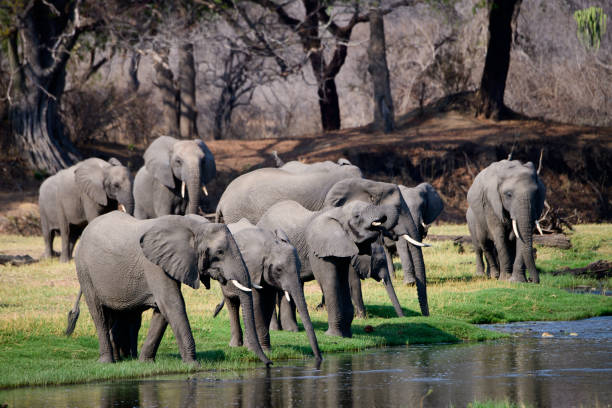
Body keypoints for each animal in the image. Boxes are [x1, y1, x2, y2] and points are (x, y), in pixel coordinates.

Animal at [64, 212, 270, 364]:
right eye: (219, 252)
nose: (269, 363)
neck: (193, 226)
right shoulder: (153, 264)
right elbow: (172, 303)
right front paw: (193, 365)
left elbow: (163, 310)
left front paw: (145, 363)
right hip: (84, 270)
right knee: (99, 313)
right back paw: (107, 362)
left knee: (121, 314)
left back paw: (123, 359)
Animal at [213, 218, 322, 362]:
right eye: (279, 269)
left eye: (299, 267)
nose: (319, 358)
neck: (270, 246)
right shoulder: (251, 269)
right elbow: (256, 303)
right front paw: (254, 350)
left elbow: (268, 303)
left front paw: (266, 350)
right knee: (232, 303)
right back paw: (235, 345)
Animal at [256, 199, 396, 336]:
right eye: (357, 216)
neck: (339, 212)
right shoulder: (317, 249)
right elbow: (330, 282)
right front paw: (333, 335)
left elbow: (344, 282)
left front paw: (346, 335)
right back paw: (276, 329)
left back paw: (291, 330)